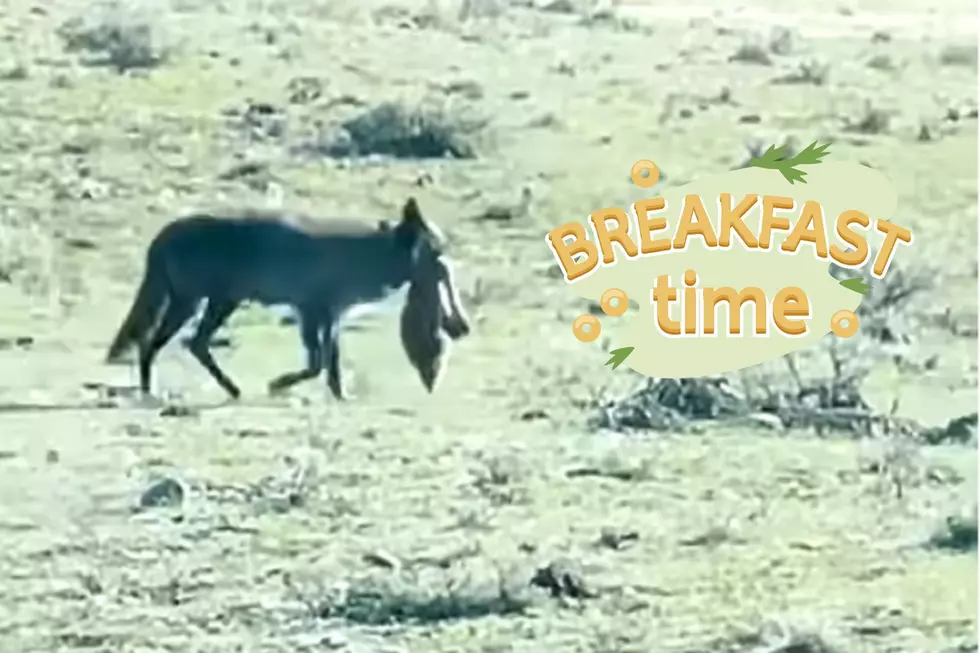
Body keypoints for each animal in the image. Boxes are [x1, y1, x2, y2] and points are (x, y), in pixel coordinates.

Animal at [105, 197, 468, 400]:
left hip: (215, 303)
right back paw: (153, 390)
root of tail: (162, 236)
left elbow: (331, 362)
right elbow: (318, 362)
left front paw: (340, 396)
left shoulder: (330, 316)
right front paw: (279, 384)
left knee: (191, 343)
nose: (460, 325)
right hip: (198, 303)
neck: (366, 255)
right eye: (437, 252)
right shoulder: (309, 311)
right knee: (160, 342)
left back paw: (226, 389)